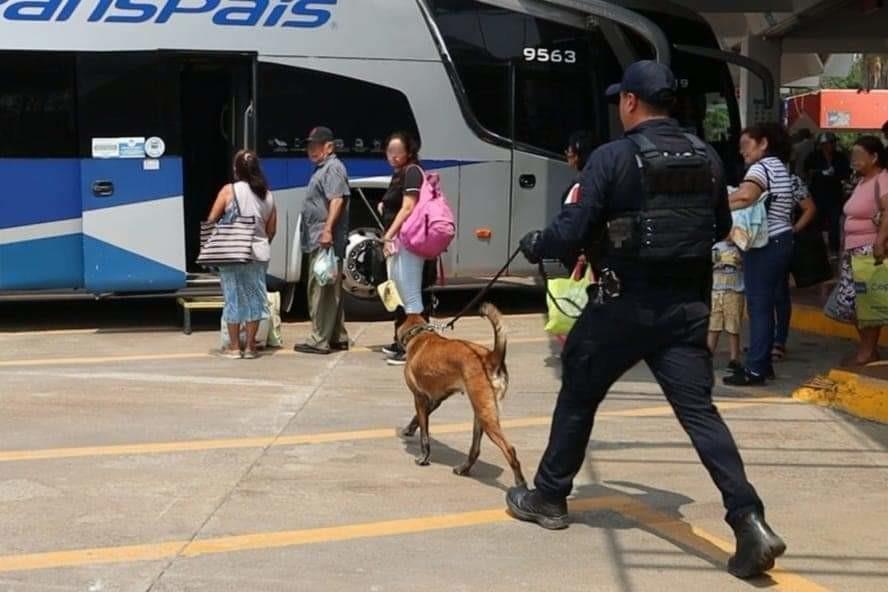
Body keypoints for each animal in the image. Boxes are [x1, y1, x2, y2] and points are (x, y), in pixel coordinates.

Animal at [398, 302, 524, 488]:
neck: (420, 335)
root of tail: (490, 357)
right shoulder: (435, 399)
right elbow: (418, 419)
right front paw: (409, 428)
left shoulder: (419, 398)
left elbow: (424, 435)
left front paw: (423, 458)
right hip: (481, 413)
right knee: (475, 449)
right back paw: (464, 468)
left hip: (486, 416)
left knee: (510, 450)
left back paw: (521, 483)